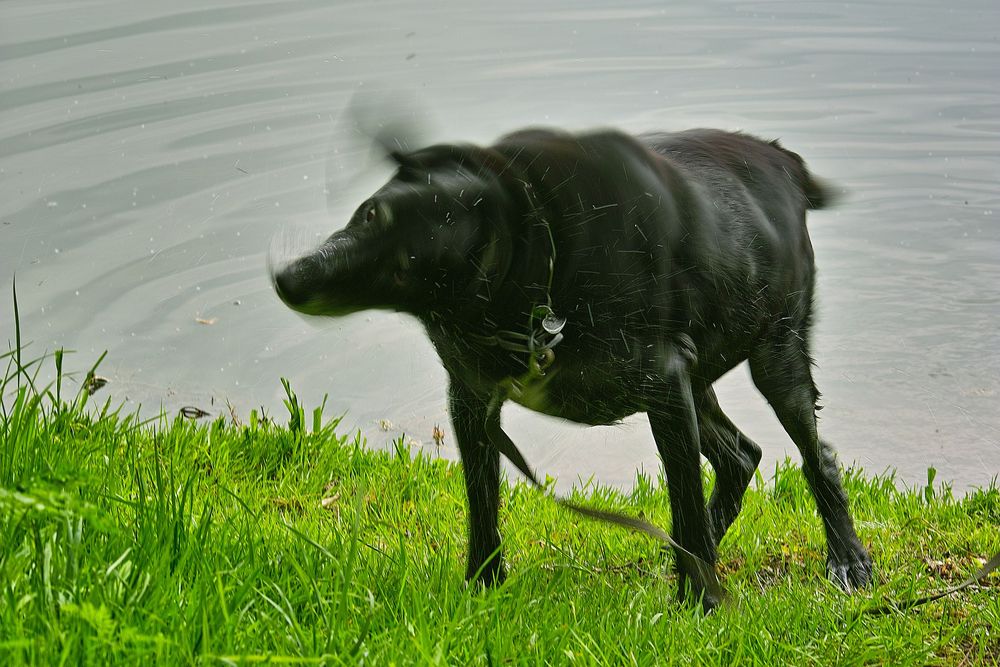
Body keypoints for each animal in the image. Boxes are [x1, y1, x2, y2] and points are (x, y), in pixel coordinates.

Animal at [274, 125, 876, 612]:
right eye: (368, 212)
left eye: (397, 253)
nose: (287, 276)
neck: (542, 263)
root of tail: (783, 162)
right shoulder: (472, 401)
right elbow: (482, 506)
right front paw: (482, 589)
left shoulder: (663, 384)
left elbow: (683, 497)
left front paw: (701, 604)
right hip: (695, 384)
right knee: (741, 456)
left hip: (774, 357)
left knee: (815, 457)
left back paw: (847, 560)